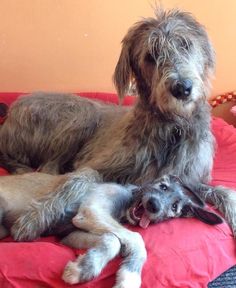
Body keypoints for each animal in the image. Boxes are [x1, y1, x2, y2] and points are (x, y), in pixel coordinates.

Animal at [0, 8, 236, 236]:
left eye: (185, 44)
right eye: (151, 56)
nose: (182, 88)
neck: (172, 129)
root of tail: (8, 116)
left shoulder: (188, 180)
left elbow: (222, 191)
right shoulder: (99, 164)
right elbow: (75, 180)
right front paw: (34, 218)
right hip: (83, 114)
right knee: (49, 168)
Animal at [0, 169, 222, 288]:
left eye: (175, 207)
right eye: (163, 186)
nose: (154, 206)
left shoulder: (71, 232)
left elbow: (112, 240)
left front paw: (83, 268)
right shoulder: (91, 211)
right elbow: (136, 239)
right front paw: (130, 278)